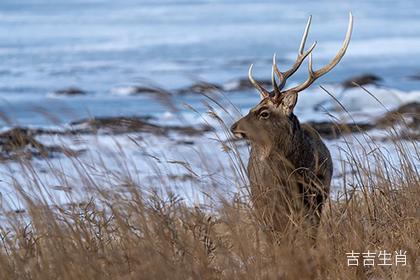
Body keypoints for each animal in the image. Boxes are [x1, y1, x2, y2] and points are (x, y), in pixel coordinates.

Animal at [231, 13, 352, 241]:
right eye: (252, 107)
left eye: (264, 112)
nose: (233, 127)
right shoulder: (271, 199)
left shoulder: (317, 195)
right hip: (258, 196)